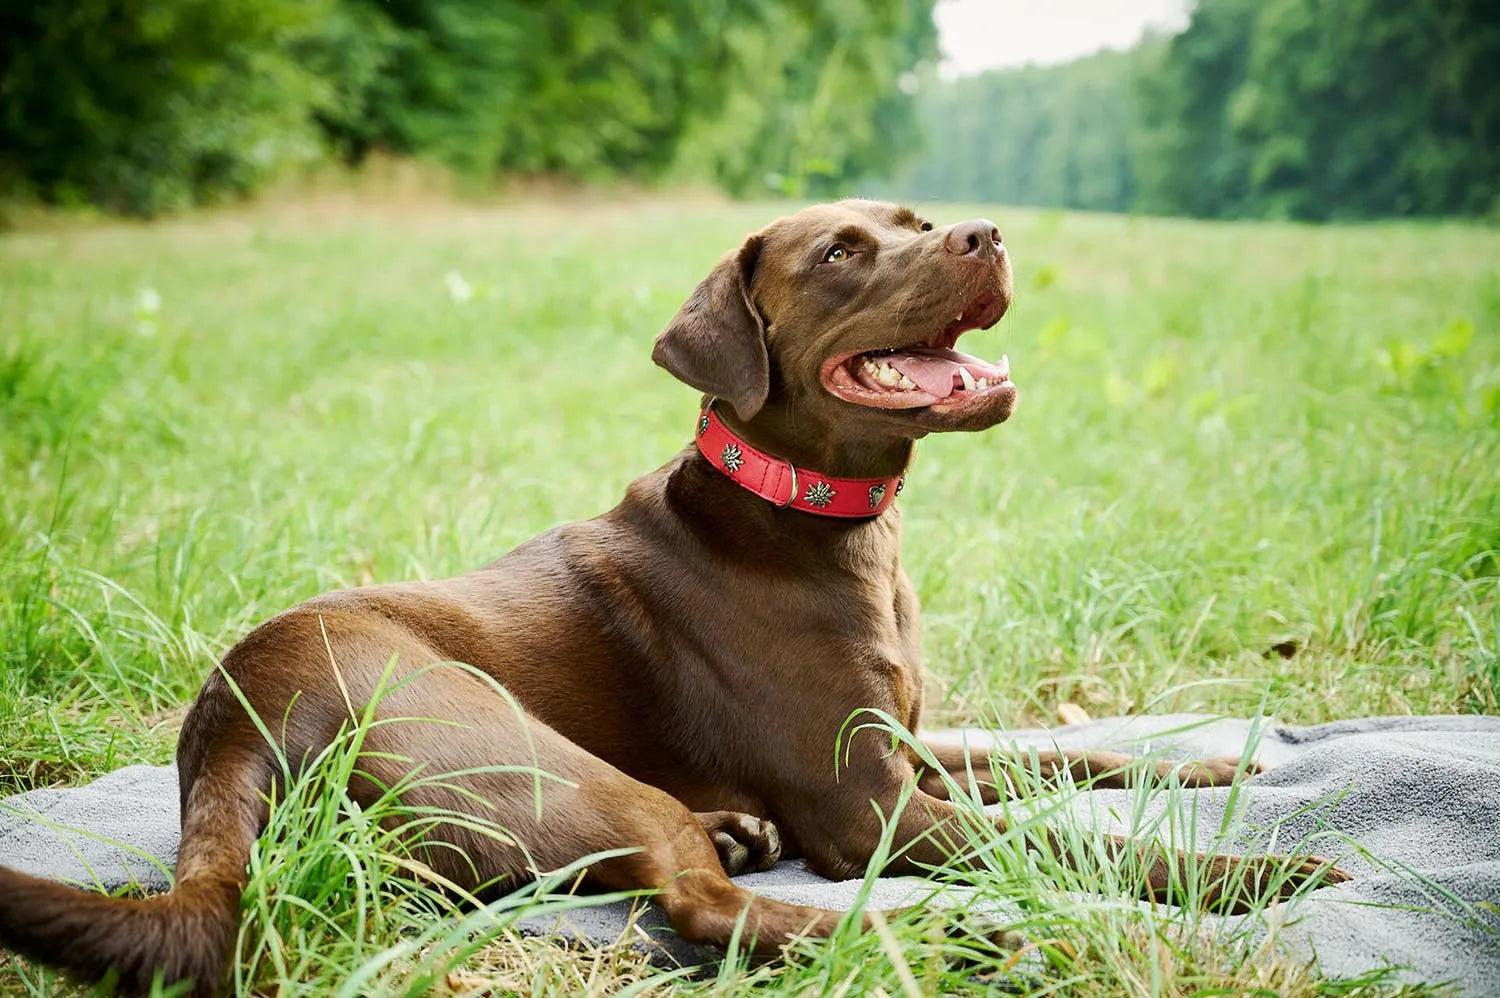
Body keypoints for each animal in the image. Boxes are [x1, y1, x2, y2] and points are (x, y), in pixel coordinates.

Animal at [0, 201, 1350, 990]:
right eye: (842, 254)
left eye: (912, 220)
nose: (983, 234)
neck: (817, 518)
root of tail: (223, 726)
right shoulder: (867, 808)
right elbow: (1064, 837)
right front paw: (1250, 879)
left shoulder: (911, 740)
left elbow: (1055, 757)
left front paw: (1215, 768)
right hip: (523, 746)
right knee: (705, 910)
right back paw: (959, 938)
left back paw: (761, 840)